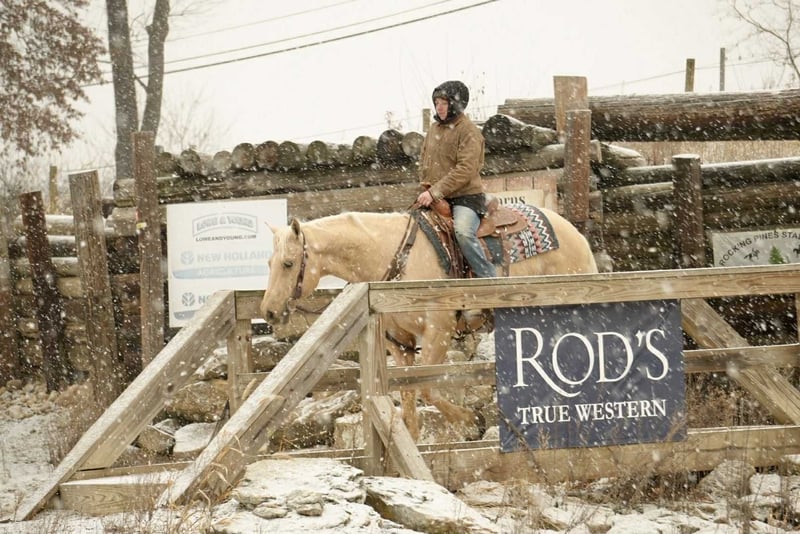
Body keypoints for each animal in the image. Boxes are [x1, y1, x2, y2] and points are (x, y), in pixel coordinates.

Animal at [259, 205, 599, 440]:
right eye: (269, 262)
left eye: (288, 263)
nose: (269, 312)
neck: (395, 258)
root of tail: (575, 234)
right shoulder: (400, 344)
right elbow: (409, 395)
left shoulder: (438, 333)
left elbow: (427, 389)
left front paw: (472, 422)